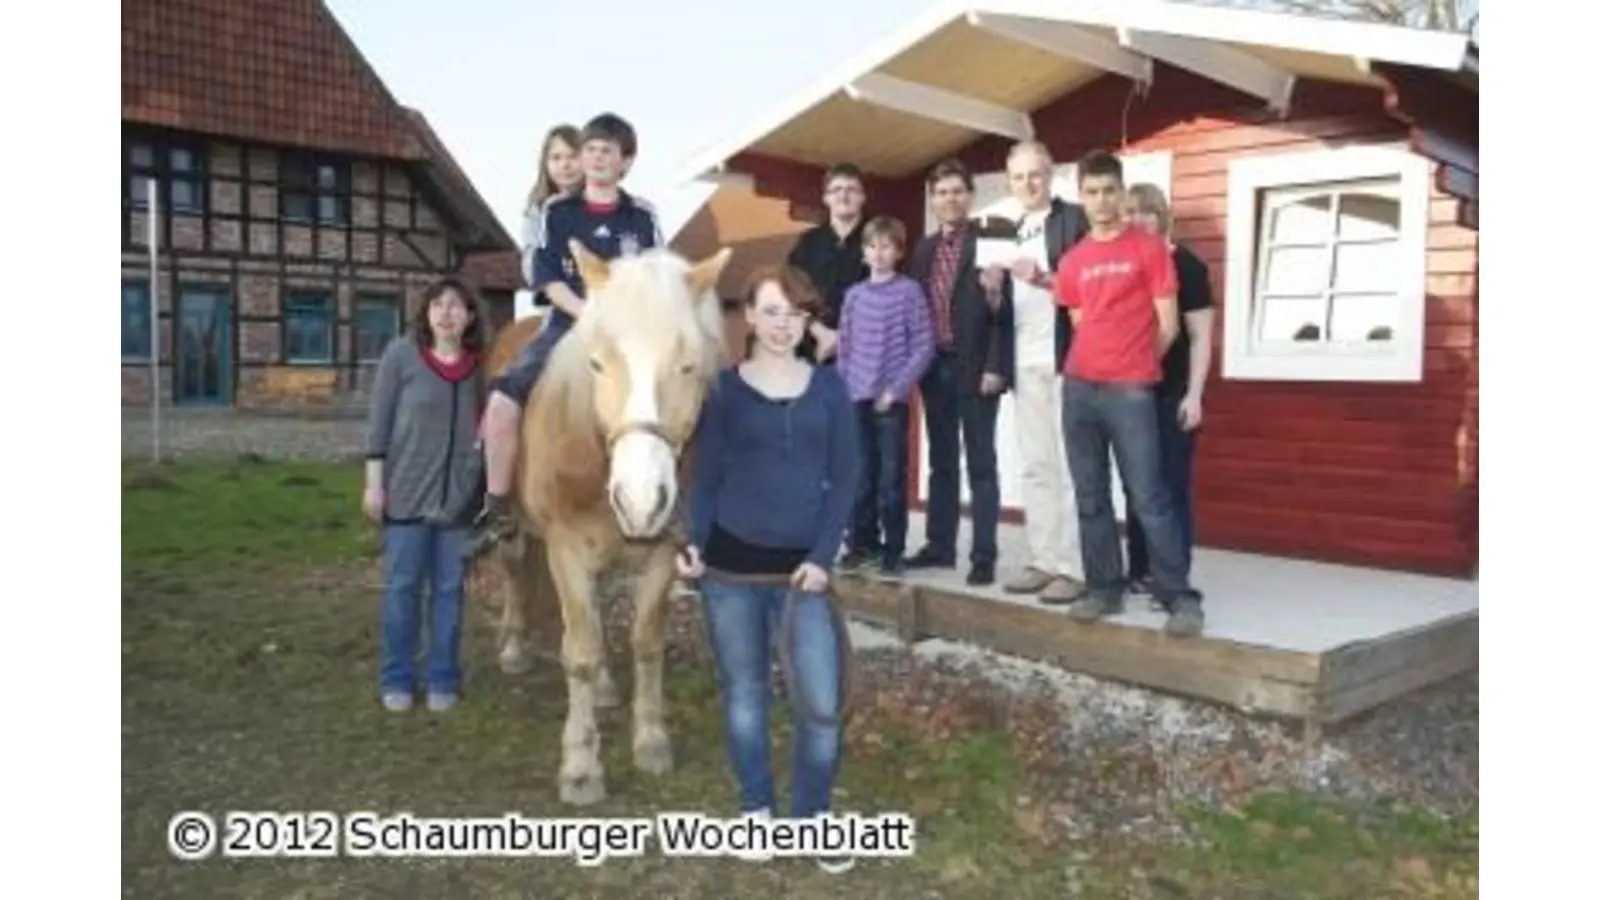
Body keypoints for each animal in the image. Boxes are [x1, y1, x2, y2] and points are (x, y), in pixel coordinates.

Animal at [486, 241, 732, 800]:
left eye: (689, 366)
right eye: (597, 364)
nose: (639, 500)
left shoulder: (661, 554)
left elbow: (645, 645)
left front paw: (651, 742)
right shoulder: (566, 552)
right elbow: (578, 651)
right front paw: (581, 767)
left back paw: (601, 686)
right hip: (516, 527)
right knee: (514, 570)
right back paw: (513, 648)